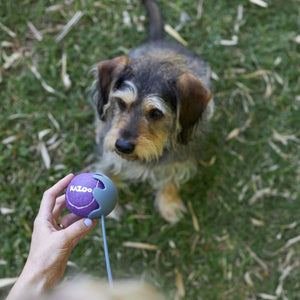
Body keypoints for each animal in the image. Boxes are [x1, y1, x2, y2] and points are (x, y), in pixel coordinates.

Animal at [91, 0, 213, 223]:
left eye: (156, 112)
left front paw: (170, 204)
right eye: (121, 103)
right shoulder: (109, 153)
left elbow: (170, 180)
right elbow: (107, 171)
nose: (122, 146)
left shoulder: (178, 161)